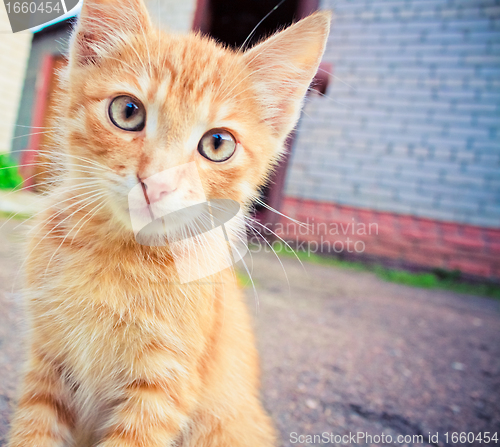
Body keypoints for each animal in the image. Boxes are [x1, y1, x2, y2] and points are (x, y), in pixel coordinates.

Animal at [7, 0, 330, 446]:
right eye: (127, 111)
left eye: (218, 144)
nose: (156, 182)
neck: (119, 255)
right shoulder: (47, 362)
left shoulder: (163, 387)